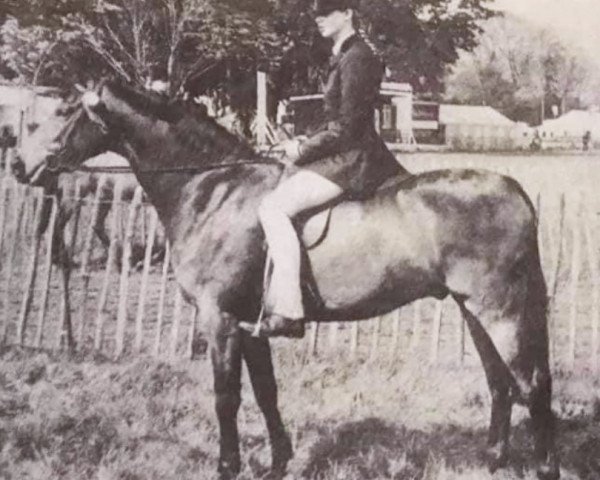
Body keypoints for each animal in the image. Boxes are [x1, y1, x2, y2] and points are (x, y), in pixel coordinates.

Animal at [30, 81, 560, 480]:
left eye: (63, 110)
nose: (22, 166)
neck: (215, 189)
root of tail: (516, 191)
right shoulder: (250, 324)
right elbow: (266, 391)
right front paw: (279, 462)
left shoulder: (220, 319)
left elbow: (226, 397)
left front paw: (228, 467)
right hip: (474, 309)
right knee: (500, 383)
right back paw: (493, 461)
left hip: (501, 308)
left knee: (532, 384)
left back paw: (543, 466)